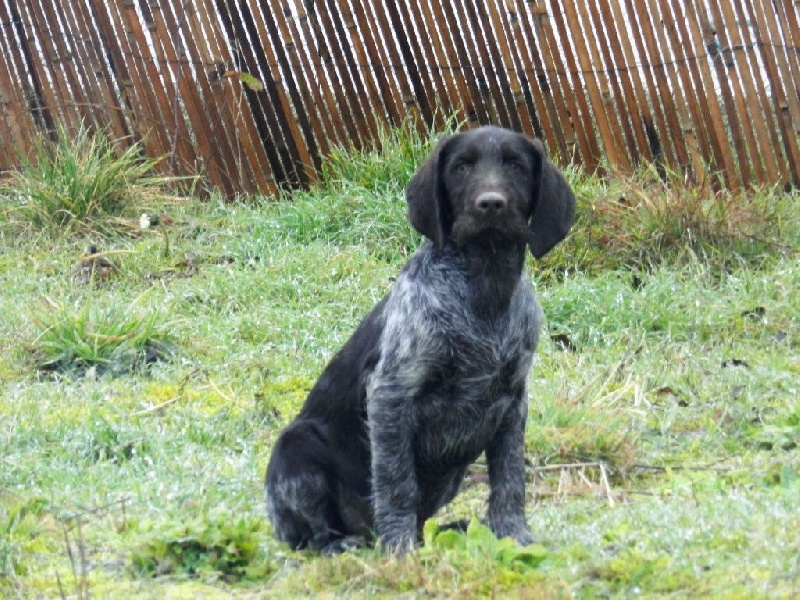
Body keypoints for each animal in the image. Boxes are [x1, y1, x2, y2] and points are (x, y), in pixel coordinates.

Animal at [268, 125, 576, 552]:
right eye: (461, 167)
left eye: (516, 165)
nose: (490, 204)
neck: (483, 287)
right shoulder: (391, 395)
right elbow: (397, 484)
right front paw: (400, 550)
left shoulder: (513, 401)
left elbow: (509, 478)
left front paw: (512, 534)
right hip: (296, 447)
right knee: (313, 533)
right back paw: (343, 544)